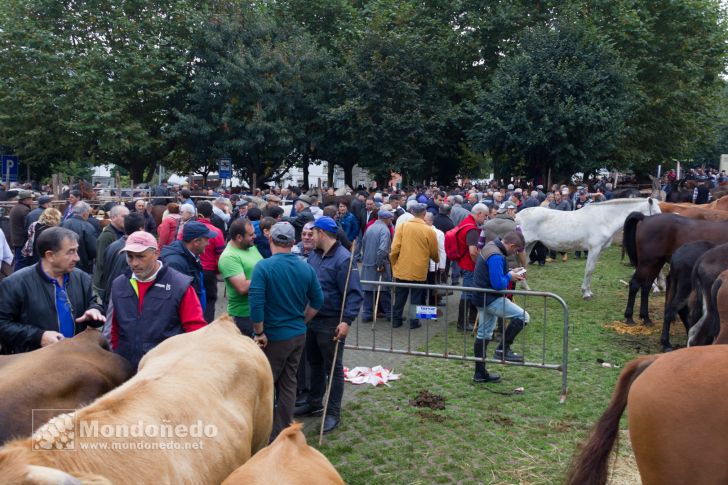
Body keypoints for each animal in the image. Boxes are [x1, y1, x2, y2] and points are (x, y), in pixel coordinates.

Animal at [516, 198, 664, 298]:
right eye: (655, 212)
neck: (604, 219)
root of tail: (518, 215)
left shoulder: (597, 251)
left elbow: (591, 271)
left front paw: (588, 291)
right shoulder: (594, 249)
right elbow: (589, 270)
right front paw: (586, 293)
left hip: (529, 245)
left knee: (524, 263)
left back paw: (526, 288)